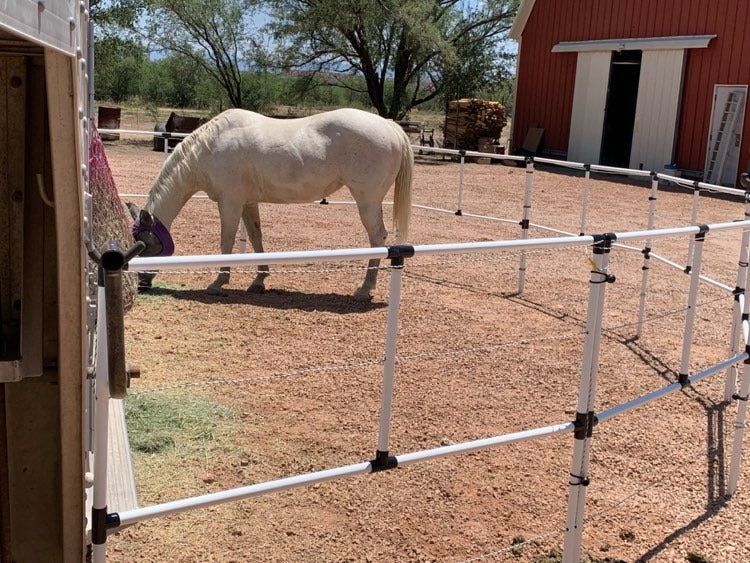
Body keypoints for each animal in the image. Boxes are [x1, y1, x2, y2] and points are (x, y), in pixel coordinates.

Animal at [128, 107, 414, 301]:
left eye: (146, 246)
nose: (142, 284)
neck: (209, 149)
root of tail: (389, 126)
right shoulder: (248, 203)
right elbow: (257, 239)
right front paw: (259, 280)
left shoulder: (230, 202)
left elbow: (226, 241)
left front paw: (218, 282)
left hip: (367, 200)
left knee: (377, 237)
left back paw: (364, 289)